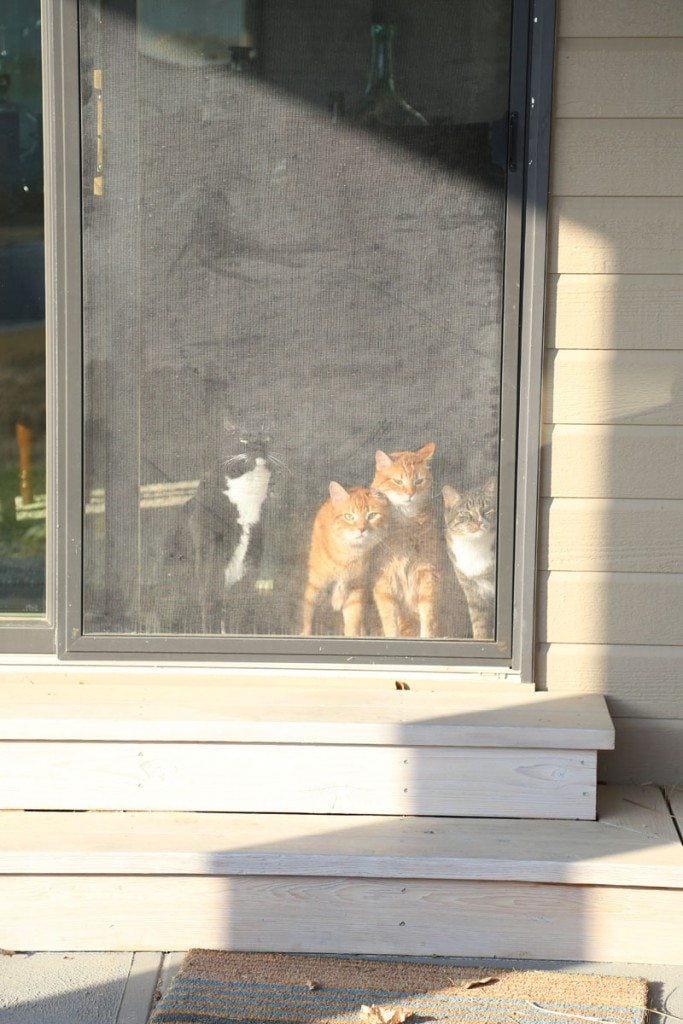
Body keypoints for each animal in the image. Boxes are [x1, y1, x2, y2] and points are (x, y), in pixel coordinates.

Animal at [303, 481, 393, 638]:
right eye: (349, 516)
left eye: (372, 516)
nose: (361, 529)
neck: (348, 556)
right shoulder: (314, 587)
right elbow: (307, 619)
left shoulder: (355, 590)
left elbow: (353, 622)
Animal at [370, 442, 440, 634]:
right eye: (398, 481)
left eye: (418, 481)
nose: (410, 494)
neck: (405, 525)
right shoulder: (384, 582)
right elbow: (390, 623)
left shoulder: (428, 576)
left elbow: (428, 618)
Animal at [444, 477, 497, 638]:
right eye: (466, 513)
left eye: (487, 510)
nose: (479, 522)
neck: (474, 546)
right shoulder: (472, 590)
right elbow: (479, 624)